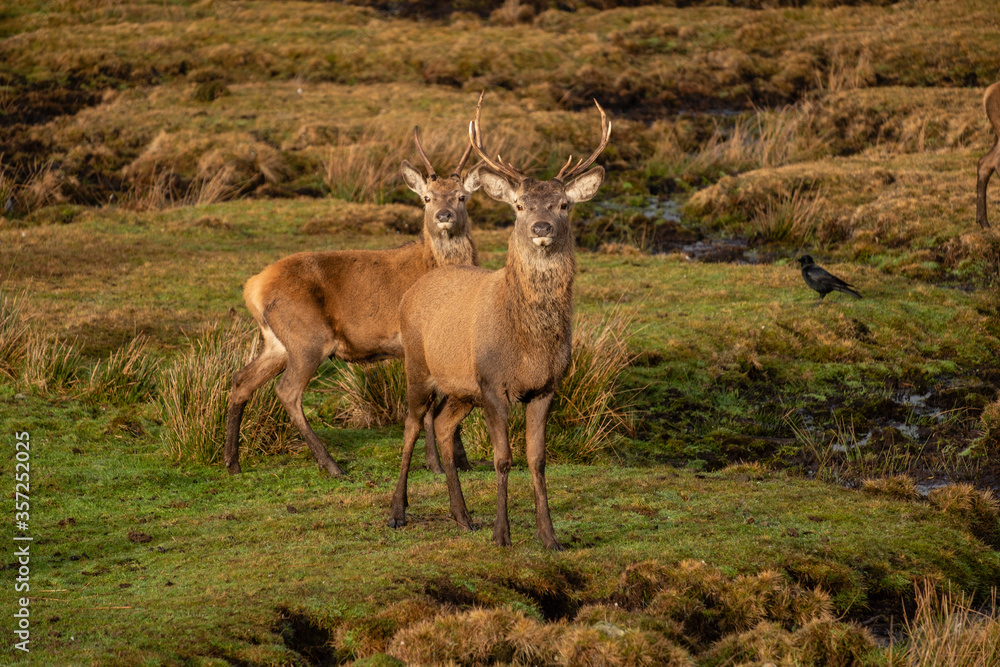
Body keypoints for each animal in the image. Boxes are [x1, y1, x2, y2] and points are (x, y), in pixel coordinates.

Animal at [224, 129, 482, 477]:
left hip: (276, 342)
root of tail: (252, 288)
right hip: (308, 337)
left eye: (461, 196)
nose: (444, 216)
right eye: (427, 198)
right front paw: (436, 464)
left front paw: (462, 460)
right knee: (287, 391)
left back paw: (232, 462)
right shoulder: (412, 342)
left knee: (241, 380)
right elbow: (427, 406)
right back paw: (331, 465)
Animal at [388, 93, 611, 549]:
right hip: (417, 366)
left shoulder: (546, 387)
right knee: (411, 425)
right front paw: (502, 534)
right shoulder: (492, 384)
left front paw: (549, 536)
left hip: (459, 387)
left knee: (442, 425)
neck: (528, 344)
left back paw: (462, 517)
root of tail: (419, 283)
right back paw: (398, 512)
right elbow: (503, 460)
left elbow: (537, 460)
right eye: (519, 205)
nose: (542, 227)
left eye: (564, 205)